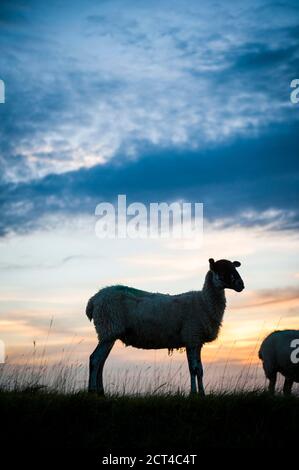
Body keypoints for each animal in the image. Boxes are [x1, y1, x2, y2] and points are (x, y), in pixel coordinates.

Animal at [85, 258, 245, 394]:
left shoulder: (196, 341)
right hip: (108, 329)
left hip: (109, 334)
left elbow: (199, 370)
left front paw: (202, 394)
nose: (241, 285)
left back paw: (101, 392)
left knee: (101, 362)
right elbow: (193, 369)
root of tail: (94, 300)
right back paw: (92, 391)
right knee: (95, 359)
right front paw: (193, 394)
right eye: (222, 271)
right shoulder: (191, 337)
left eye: (234, 268)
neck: (204, 302)